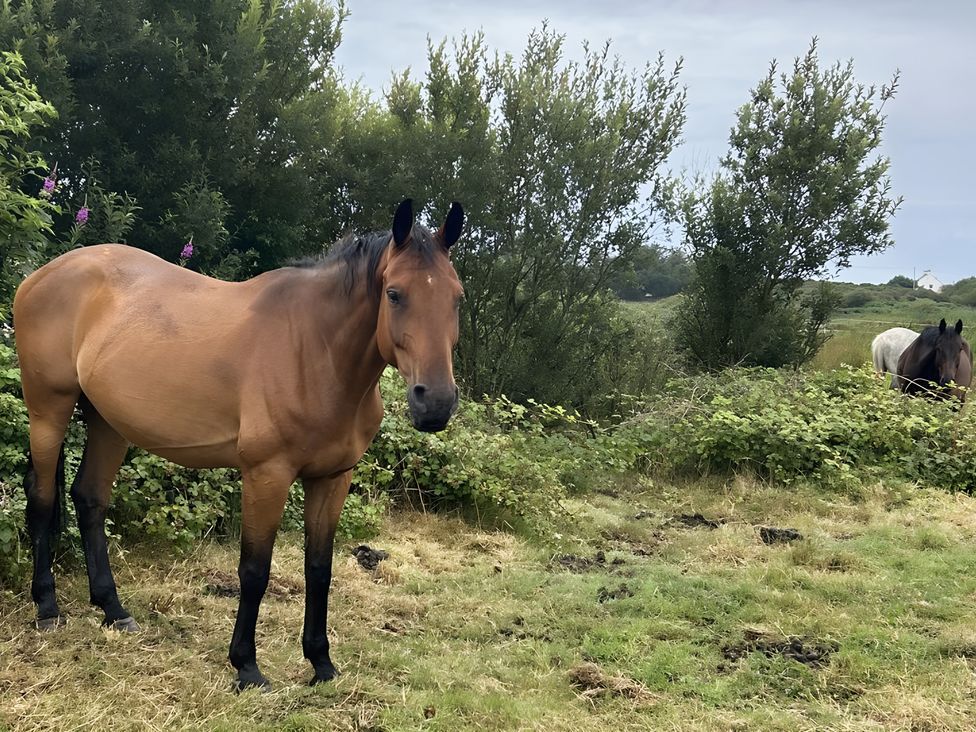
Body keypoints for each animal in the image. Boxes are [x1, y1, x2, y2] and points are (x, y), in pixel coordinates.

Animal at [13, 199, 464, 691]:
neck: (316, 351)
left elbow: (319, 569)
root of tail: (42, 275)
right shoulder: (267, 475)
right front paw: (247, 667)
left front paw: (321, 663)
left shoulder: (331, 479)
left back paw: (114, 610)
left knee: (90, 499)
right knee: (41, 499)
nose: (435, 402)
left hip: (107, 421)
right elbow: (254, 570)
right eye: (395, 294)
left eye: (457, 297)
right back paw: (48, 609)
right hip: (49, 409)